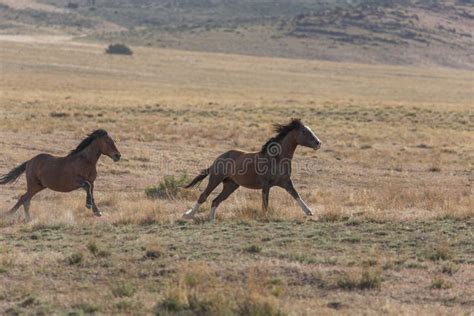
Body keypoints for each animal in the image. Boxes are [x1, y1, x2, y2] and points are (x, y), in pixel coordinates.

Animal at [183, 119, 320, 222]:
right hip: (215, 179)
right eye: (304, 131)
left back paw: (212, 220)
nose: (318, 143)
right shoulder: (266, 184)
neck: (276, 159)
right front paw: (264, 217)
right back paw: (188, 215)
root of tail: (218, 159)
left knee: (215, 201)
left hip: (231, 185)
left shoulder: (286, 182)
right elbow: (265, 203)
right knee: (203, 196)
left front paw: (309, 212)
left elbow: (296, 195)